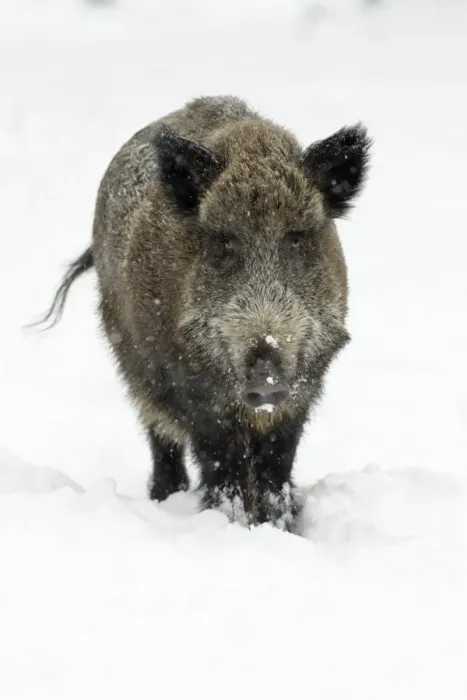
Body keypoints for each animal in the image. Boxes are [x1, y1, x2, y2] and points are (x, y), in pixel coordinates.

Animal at [39, 96, 371, 530]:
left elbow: (276, 466)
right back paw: (166, 497)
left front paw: (280, 528)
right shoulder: (197, 393)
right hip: (133, 364)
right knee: (160, 436)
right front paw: (230, 526)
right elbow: (222, 464)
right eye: (225, 243)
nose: (265, 375)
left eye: (296, 239)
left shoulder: (302, 391)